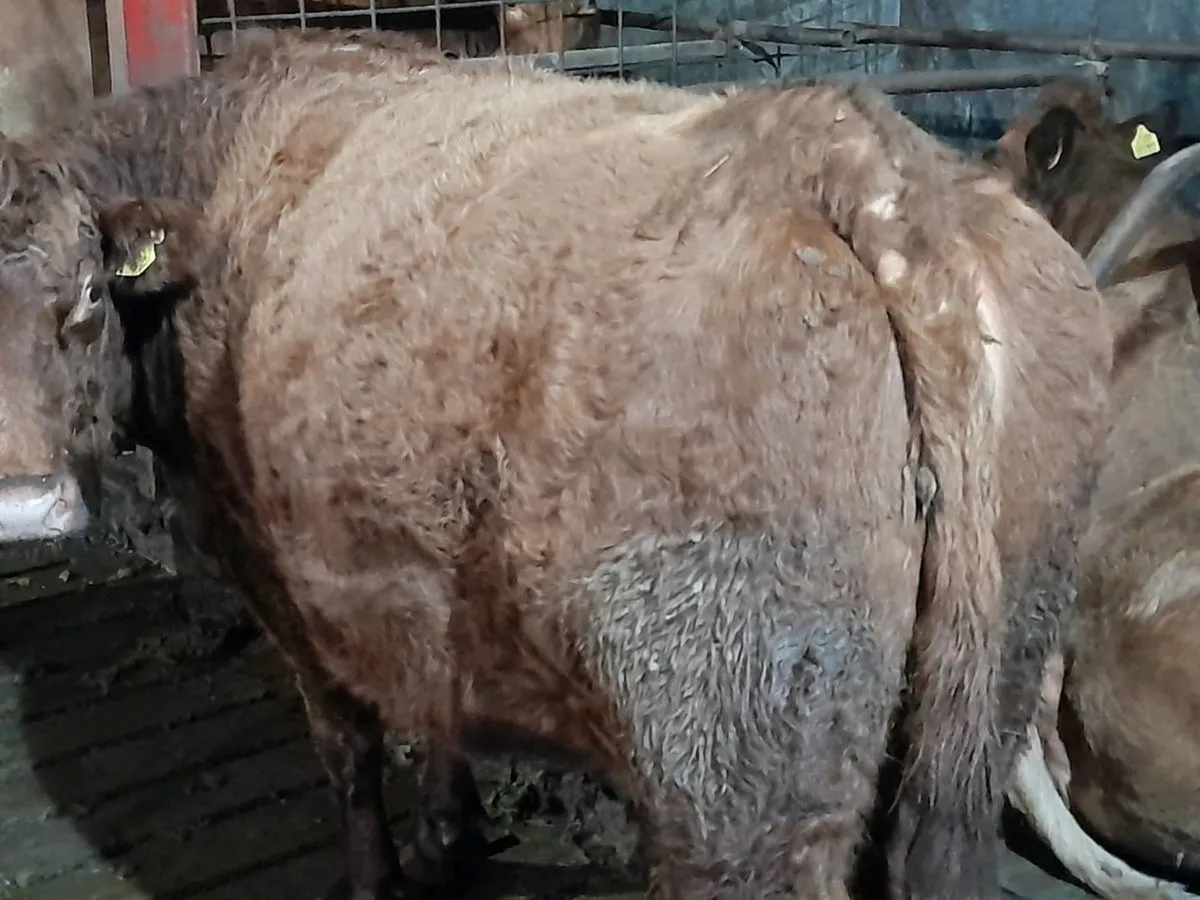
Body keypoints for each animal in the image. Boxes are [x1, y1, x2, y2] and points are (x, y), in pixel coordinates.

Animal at [0, 29, 1111, 900]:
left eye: (87, 296)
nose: (23, 505)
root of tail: (848, 155)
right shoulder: (409, 588)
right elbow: (430, 712)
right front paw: (452, 841)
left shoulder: (276, 572)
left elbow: (350, 747)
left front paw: (383, 873)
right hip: (985, 700)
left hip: (735, 771)